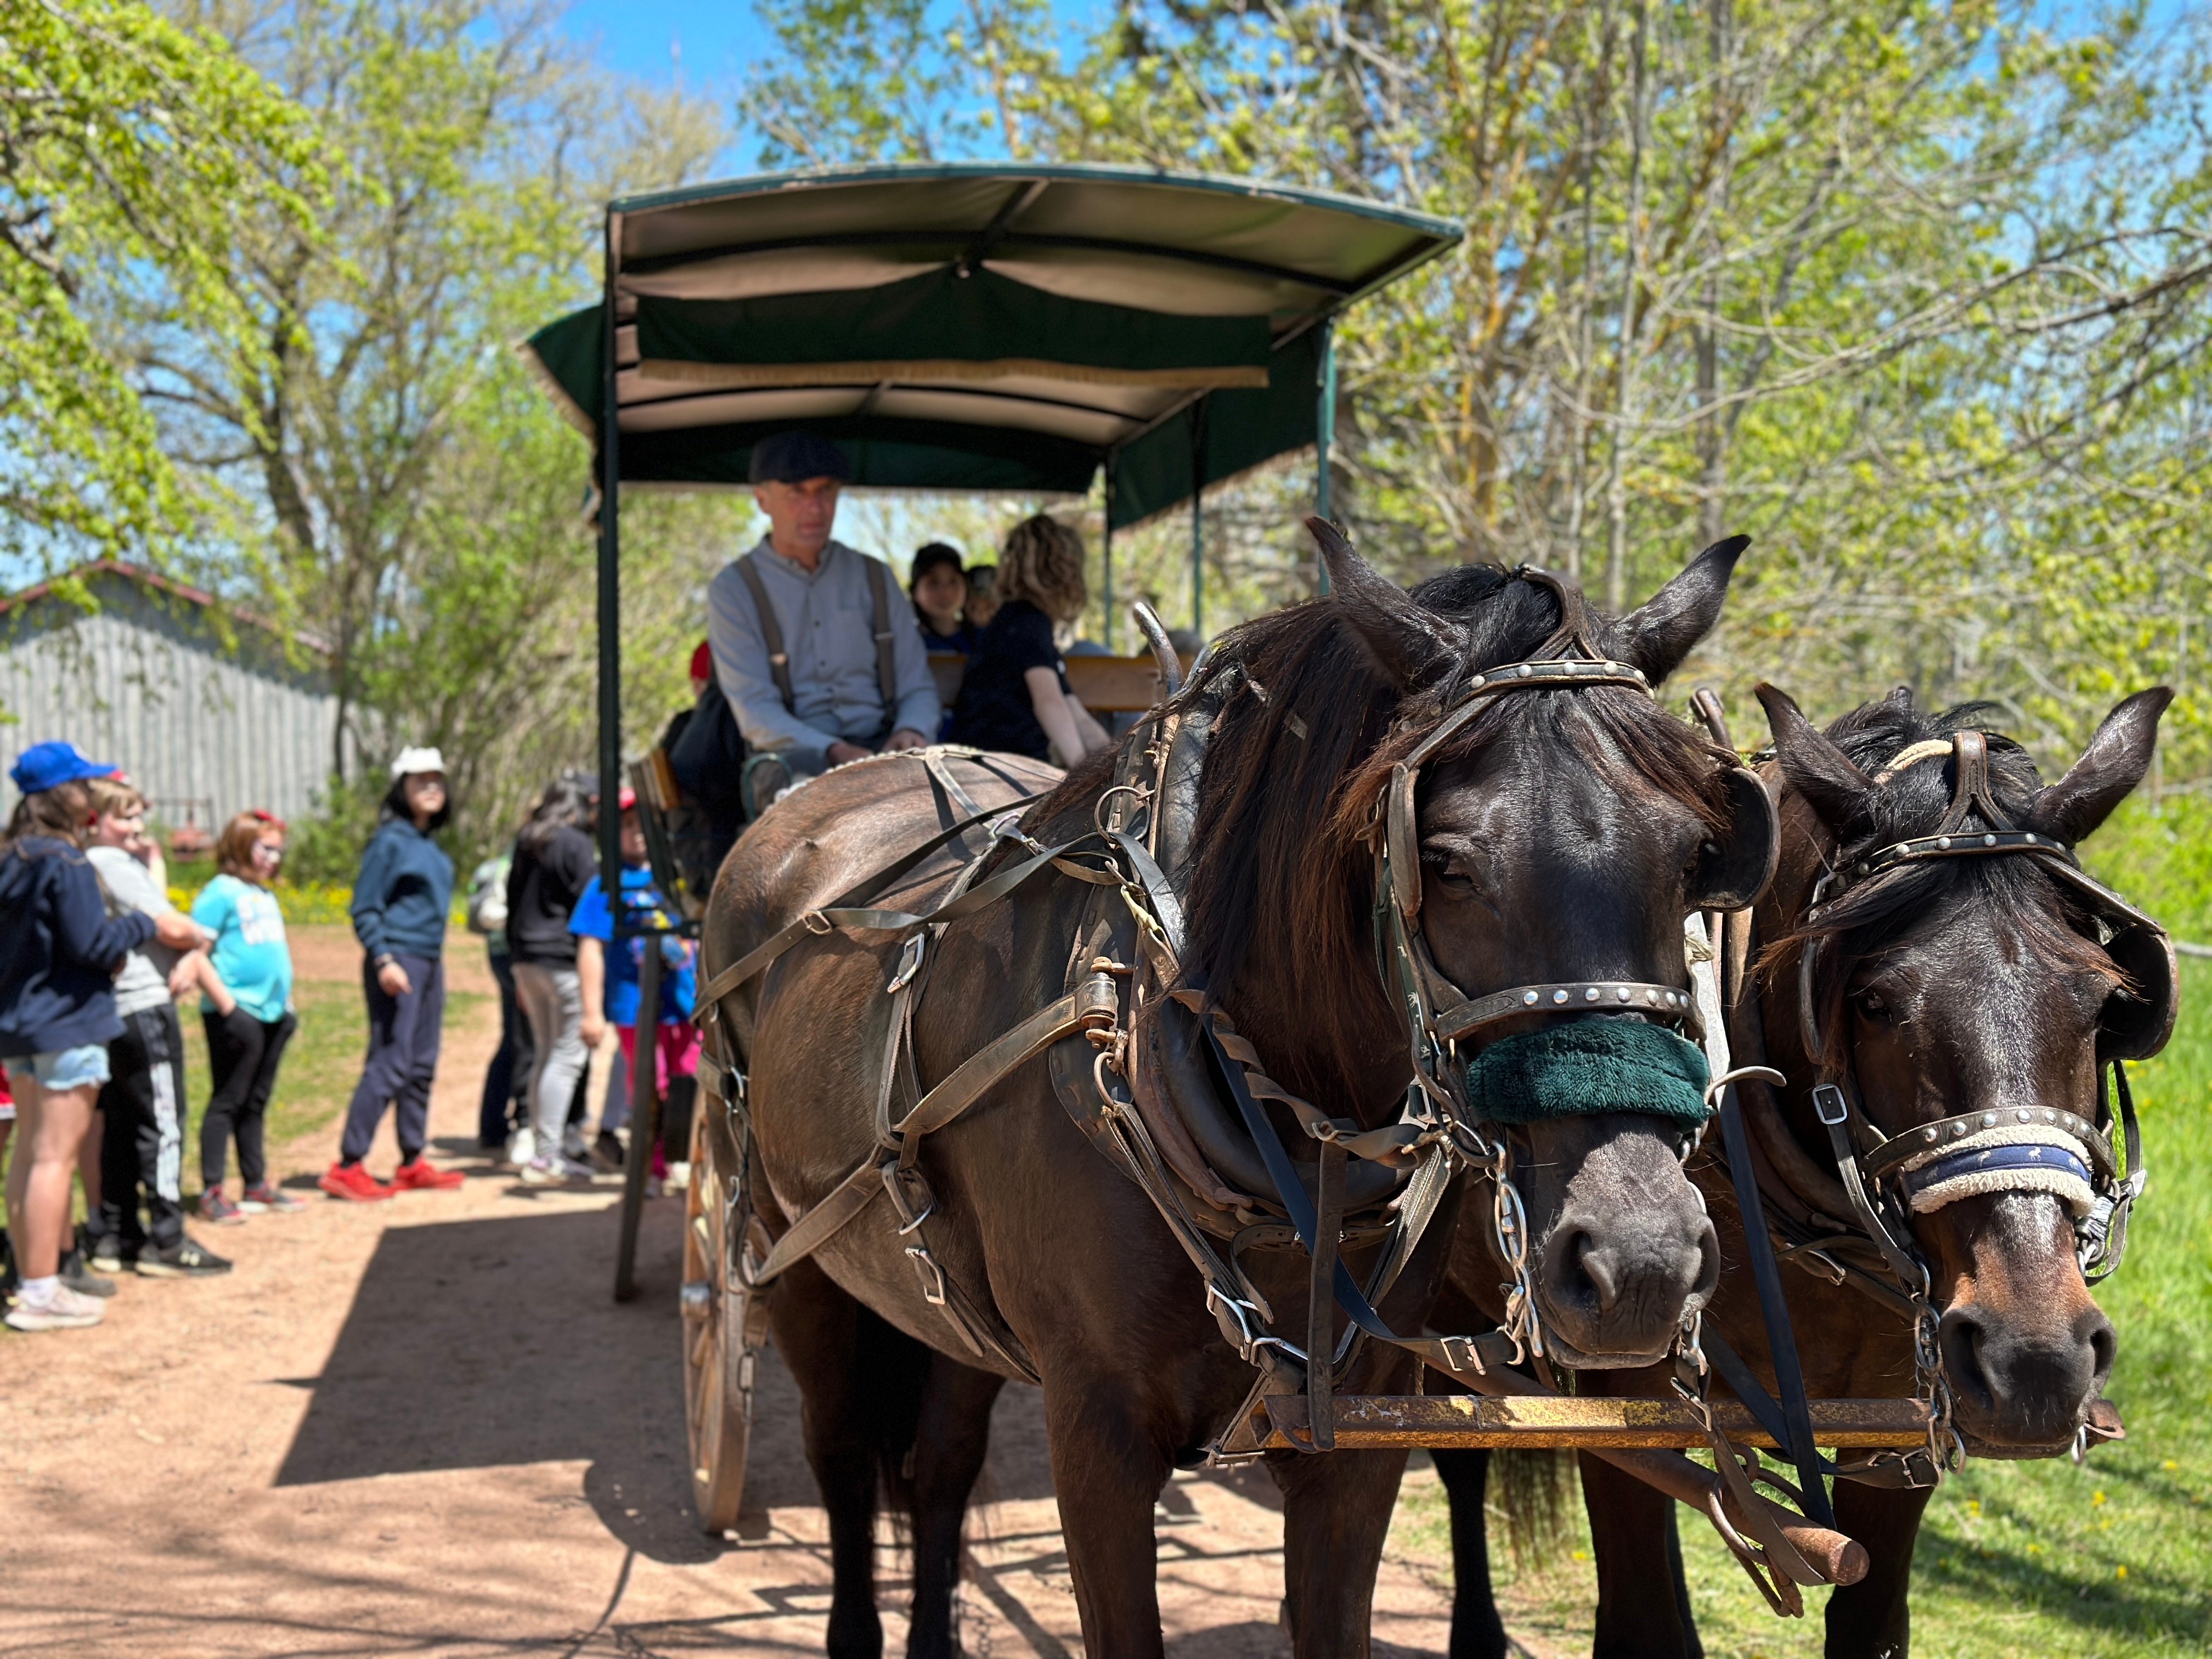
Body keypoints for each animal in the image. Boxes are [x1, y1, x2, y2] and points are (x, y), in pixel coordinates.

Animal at [712, 535, 1778, 1659]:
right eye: (1443, 863)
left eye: (1696, 858)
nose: (1641, 1259)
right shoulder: (1095, 1428)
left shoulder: (1355, 1436)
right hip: (790, 1258)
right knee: (838, 1453)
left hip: (949, 1303)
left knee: (940, 1467)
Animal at [1433, 681, 2176, 1654]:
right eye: (1873, 1000)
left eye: (2103, 1004)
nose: (2037, 1356)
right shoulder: (1621, 1399)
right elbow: (1645, 1617)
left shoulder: (1901, 1430)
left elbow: (1868, 1617)